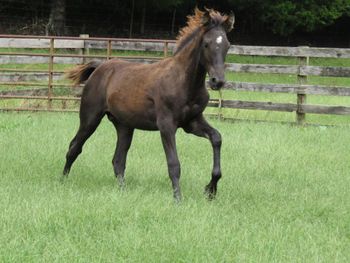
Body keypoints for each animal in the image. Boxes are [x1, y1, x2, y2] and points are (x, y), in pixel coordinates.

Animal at [63, 8, 235, 202]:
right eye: (206, 44)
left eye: (228, 45)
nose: (217, 81)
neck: (184, 82)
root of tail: (99, 67)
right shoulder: (166, 124)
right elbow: (174, 163)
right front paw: (178, 198)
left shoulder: (192, 122)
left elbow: (217, 138)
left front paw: (210, 190)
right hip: (90, 118)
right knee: (74, 147)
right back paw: (63, 180)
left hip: (124, 126)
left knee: (118, 160)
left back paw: (123, 191)